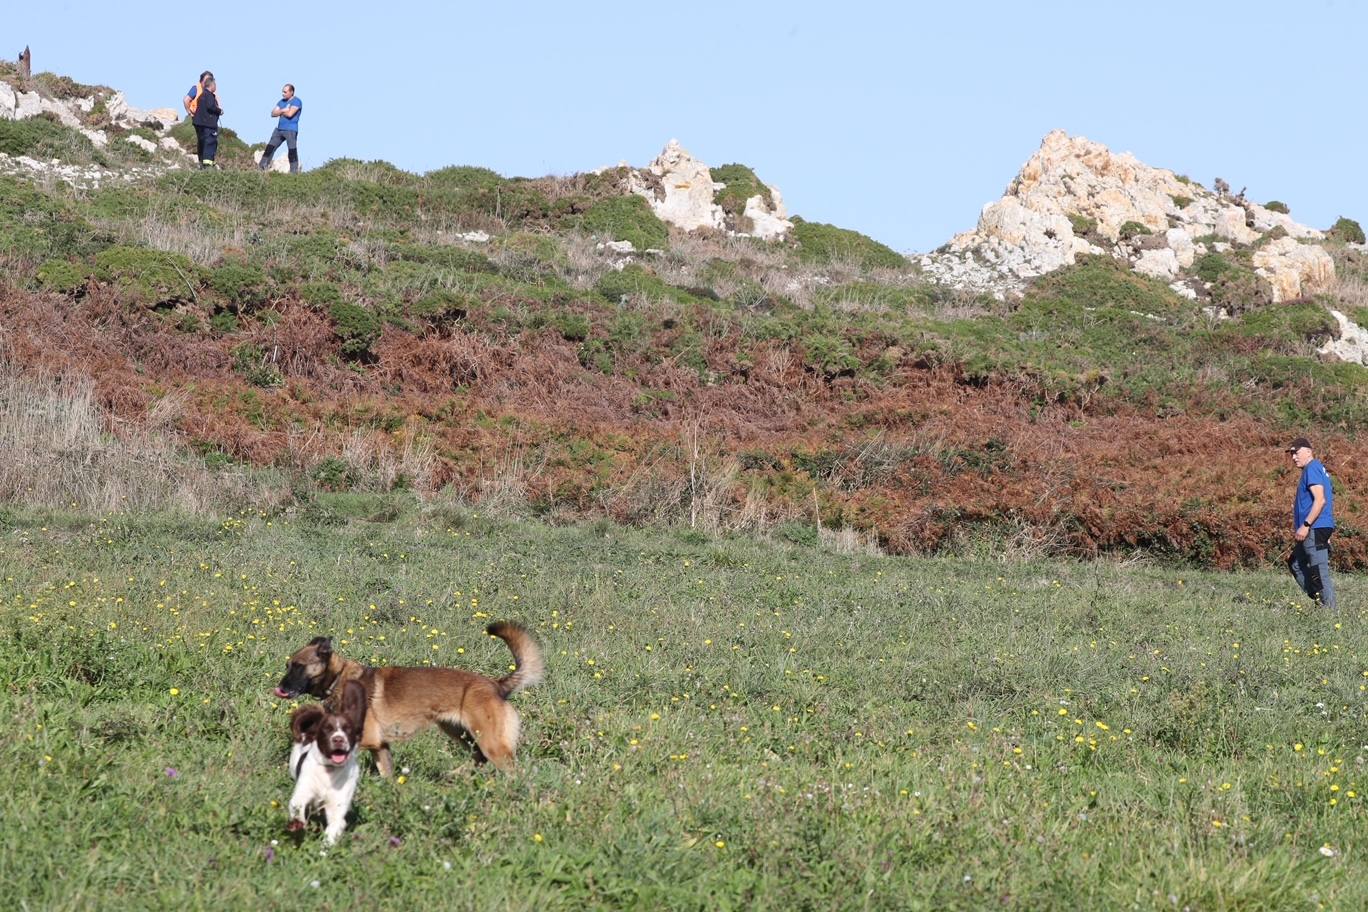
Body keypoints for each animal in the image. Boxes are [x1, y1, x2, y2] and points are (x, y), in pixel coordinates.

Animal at [272, 620, 538, 776]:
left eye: (298, 666)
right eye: (287, 665)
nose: (279, 688)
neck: (339, 678)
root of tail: (496, 685)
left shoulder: (367, 741)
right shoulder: (380, 746)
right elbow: (387, 775)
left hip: (491, 744)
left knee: (513, 773)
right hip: (460, 733)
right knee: (479, 759)